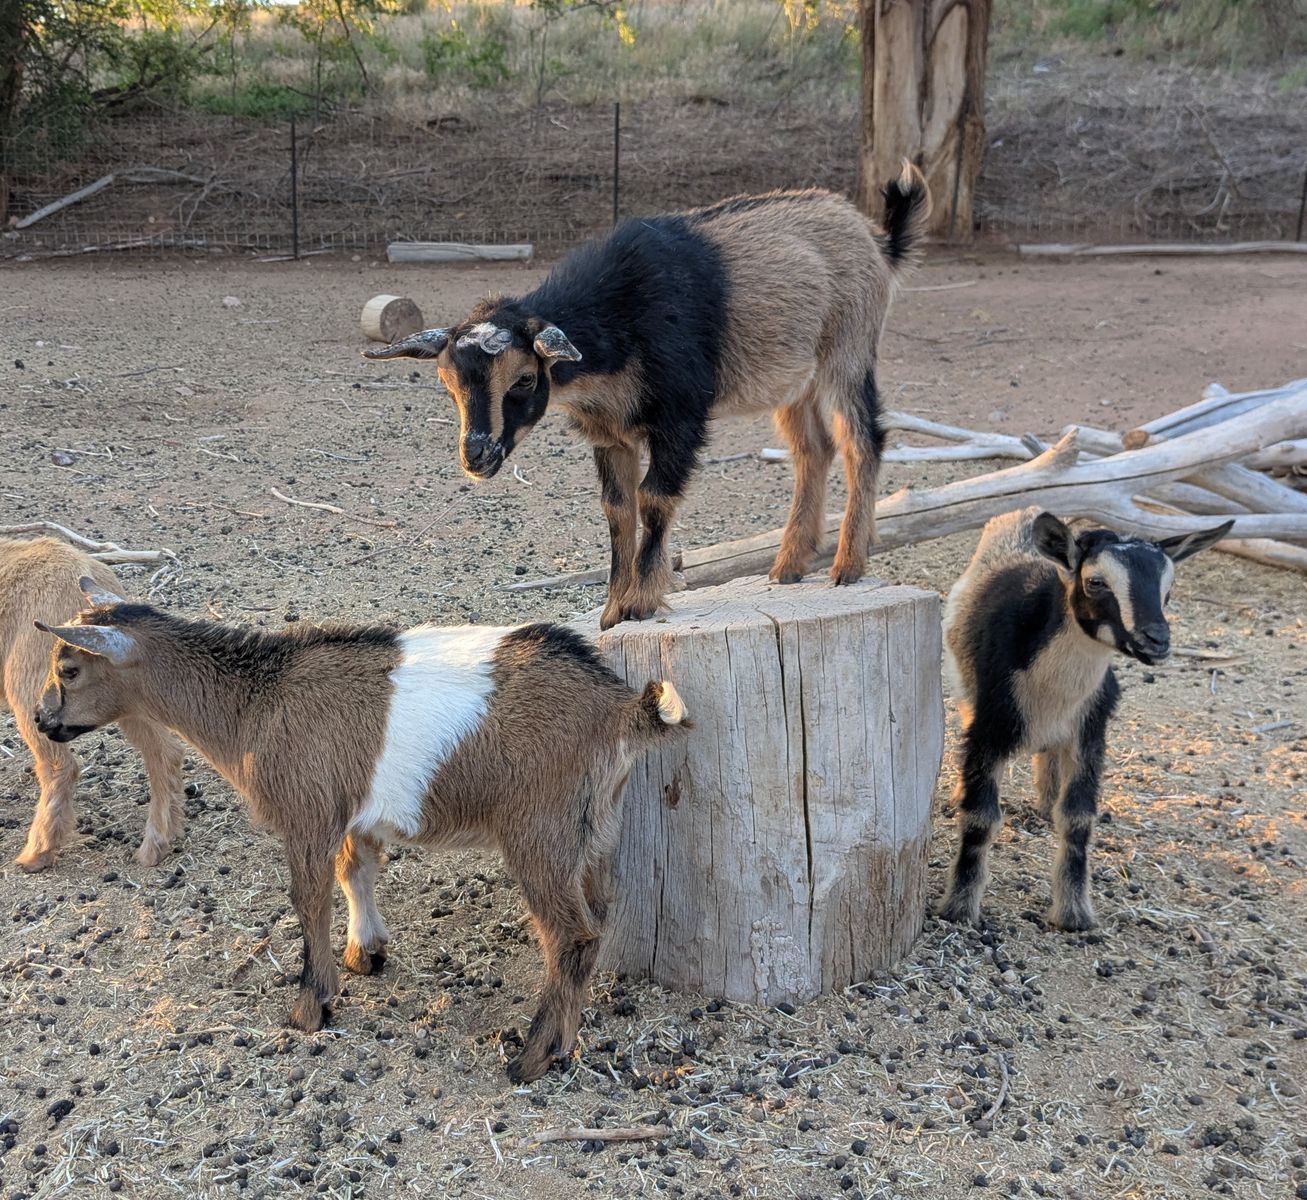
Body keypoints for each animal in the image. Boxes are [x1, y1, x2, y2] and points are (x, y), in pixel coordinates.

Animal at [0, 538, 184, 870]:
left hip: (35, 692)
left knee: (60, 767)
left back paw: (37, 853)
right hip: (123, 691)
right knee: (165, 751)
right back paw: (157, 843)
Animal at [34, 585, 688, 1082]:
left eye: (68, 668)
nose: (43, 721)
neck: (255, 705)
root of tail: (620, 709)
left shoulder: (307, 811)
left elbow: (309, 898)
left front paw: (309, 1007)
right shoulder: (353, 813)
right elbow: (357, 872)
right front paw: (364, 954)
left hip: (540, 833)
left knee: (570, 936)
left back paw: (534, 1056)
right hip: (595, 830)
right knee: (598, 920)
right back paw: (565, 1041)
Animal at [363, 168, 930, 630]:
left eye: (523, 380)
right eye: (447, 382)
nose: (476, 455)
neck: (622, 314)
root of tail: (877, 241)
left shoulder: (681, 415)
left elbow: (654, 496)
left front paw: (643, 601)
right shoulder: (610, 430)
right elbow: (618, 508)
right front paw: (613, 611)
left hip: (848, 350)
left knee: (862, 441)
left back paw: (847, 566)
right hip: (795, 381)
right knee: (812, 449)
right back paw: (788, 565)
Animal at [938, 507, 1232, 931]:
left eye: (1169, 588)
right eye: (1096, 582)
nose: (1157, 640)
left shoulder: (1089, 734)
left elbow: (1077, 819)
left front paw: (1074, 913)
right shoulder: (989, 728)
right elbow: (980, 817)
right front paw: (959, 907)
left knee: (1049, 756)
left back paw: (1046, 803)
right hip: (965, 691)